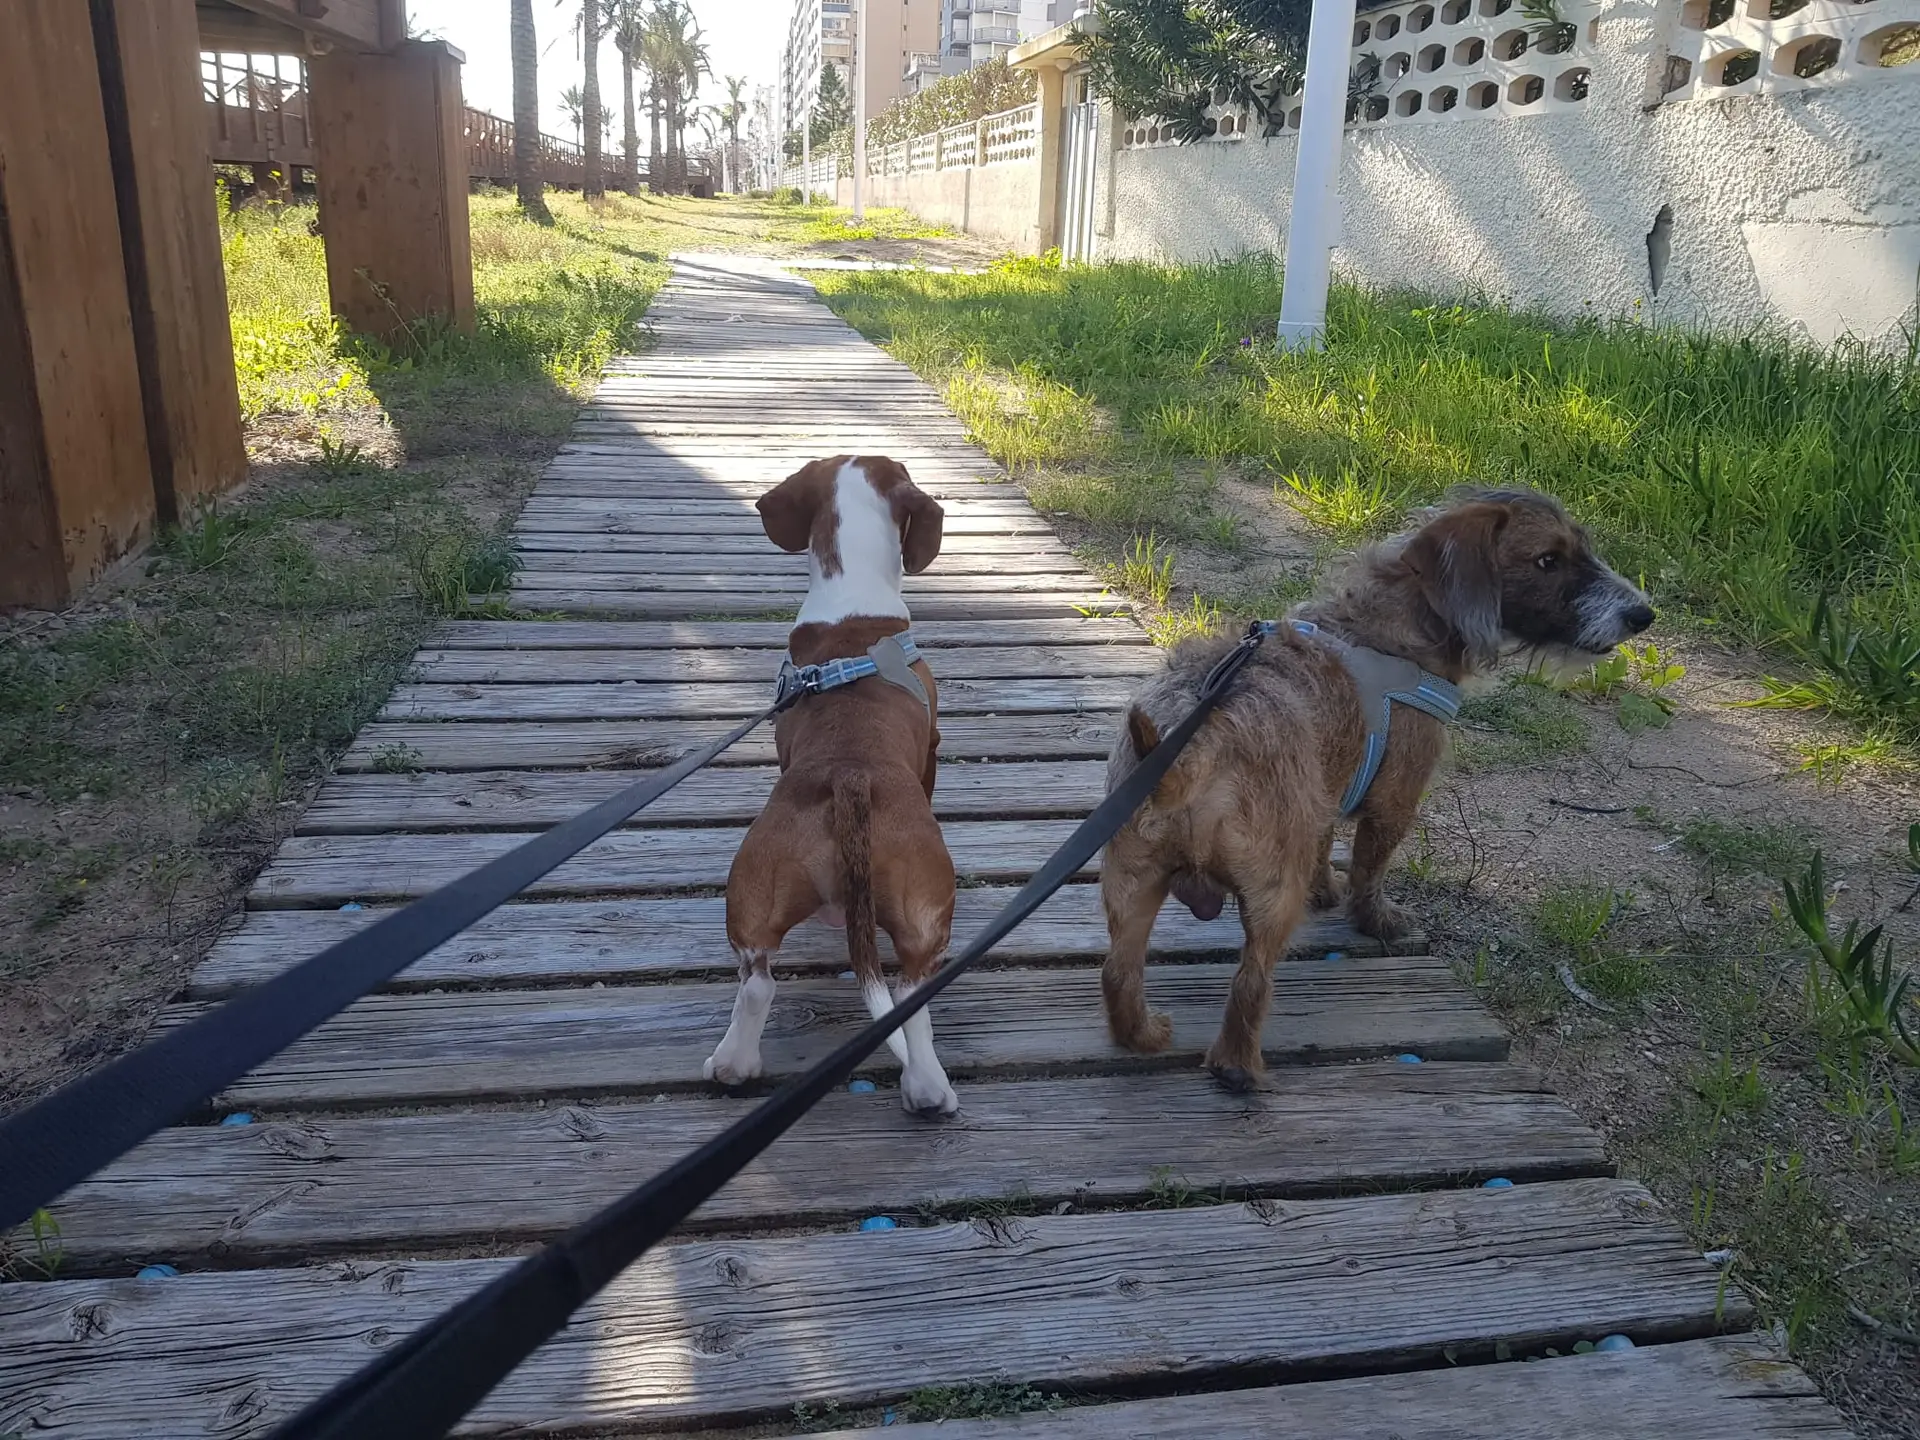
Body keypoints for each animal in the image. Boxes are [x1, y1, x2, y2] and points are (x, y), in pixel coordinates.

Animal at [708, 455, 961, 1116]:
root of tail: (850, 778)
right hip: (926, 917)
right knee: (908, 996)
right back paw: (927, 1086)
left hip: (753, 892)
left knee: (757, 982)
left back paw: (735, 1064)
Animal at [1099, 488, 1654, 1091]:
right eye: (1548, 560)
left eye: (1583, 549)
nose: (1642, 614)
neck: (1392, 627)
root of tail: (1189, 757)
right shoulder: (1395, 803)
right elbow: (1371, 870)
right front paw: (1376, 918)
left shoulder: (1327, 791)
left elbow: (1325, 843)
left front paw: (1325, 889)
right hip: (1269, 898)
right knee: (1250, 985)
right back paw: (1240, 1070)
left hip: (1130, 885)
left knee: (1117, 972)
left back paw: (1144, 1034)